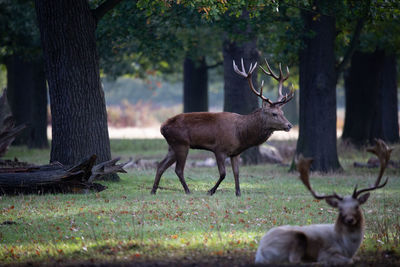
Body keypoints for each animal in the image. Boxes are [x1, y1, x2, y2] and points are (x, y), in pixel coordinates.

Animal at [150, 58, 294, 197]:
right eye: (274, 113)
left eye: (283, 112)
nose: (289, 125)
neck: (241, 135)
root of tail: (162, 127)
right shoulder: (219, 149)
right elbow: (223, 173)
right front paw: (210, 191)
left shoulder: (235, 153)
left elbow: (237, 172)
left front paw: (238, 193)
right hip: (181, 143)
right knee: (178, 169)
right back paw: (187, 191)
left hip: (172, 145)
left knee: (161, 165)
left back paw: (153, 190)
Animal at [255, 140, 392, 266]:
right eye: (340, 209)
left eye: (357, 206)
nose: (349, 219)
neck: (348, 248)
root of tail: (260, 252)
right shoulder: (327, 251)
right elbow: (349, 260)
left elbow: (355, 259)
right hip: (297, 238)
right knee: (294, 261)